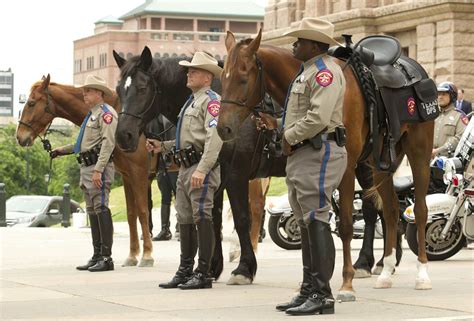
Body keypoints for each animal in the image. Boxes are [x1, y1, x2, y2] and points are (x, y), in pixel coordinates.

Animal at [16, 74, 156, 266]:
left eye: (31, 102)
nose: (19, 136)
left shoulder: (139, 174)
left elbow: (142, 212)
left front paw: (147, 255)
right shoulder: (127, 176)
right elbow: (131, 215)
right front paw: (132, 255)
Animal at [113, 45, 402, 282]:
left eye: (141, 88)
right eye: (118, 90)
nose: (123, 136)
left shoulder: (236, 175)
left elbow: (241, 218)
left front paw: (244, 268)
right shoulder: (214, 175)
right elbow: (214, 219)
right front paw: (213, 267)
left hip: (366, 166)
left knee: (373, 208)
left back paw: (368, 262)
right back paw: (385, 260)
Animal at [218, 30, 434, 300]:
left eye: (243, 78)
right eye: (222, 77)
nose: (223, 128)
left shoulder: (345, 168)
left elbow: (345, 224)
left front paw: (345, 284)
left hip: (418, 154)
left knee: (418, 210)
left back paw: (419, 274)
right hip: (378, 164)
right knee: (391, 210)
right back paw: (385, 270)